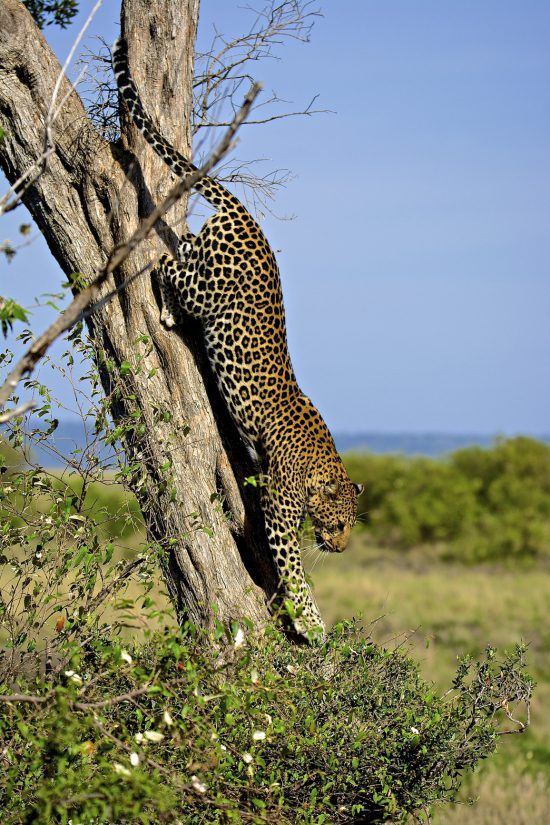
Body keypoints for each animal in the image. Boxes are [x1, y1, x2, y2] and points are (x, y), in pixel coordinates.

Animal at [113, 38, 362, 640]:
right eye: (338, 522)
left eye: (353, 525)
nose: (342, 548)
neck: (321, 465)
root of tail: (247, 217)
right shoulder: (278, 506)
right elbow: (293, 568)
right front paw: (312, 625)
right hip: (208, 290)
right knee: (161, 265)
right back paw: (165, 310)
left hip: (204, 257)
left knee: (178, 245)